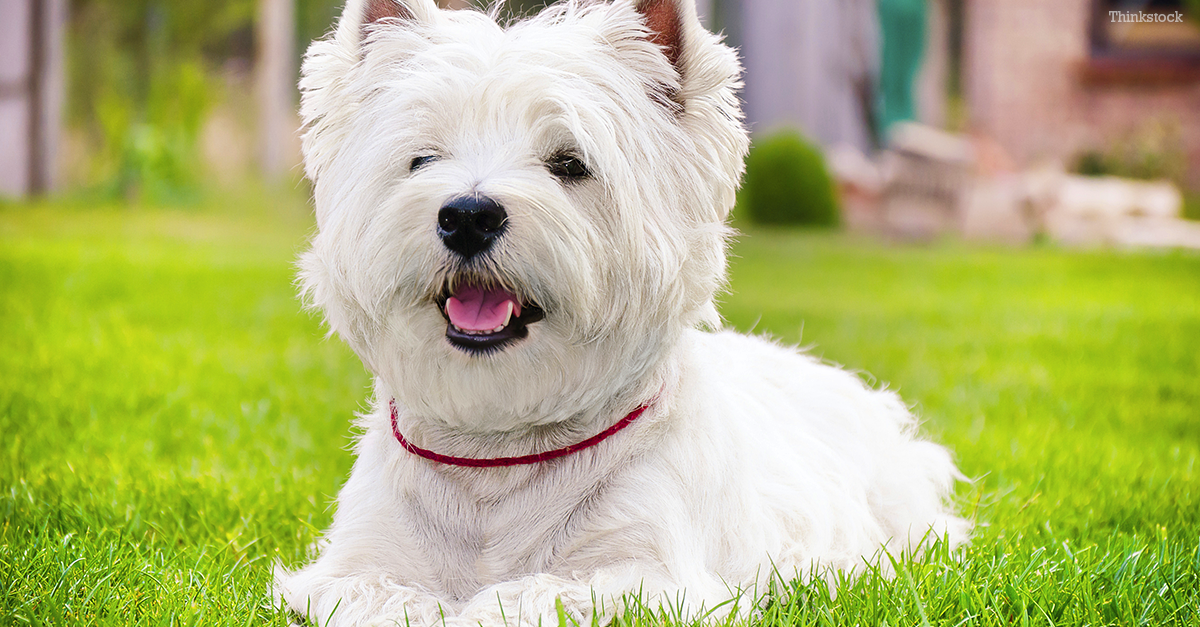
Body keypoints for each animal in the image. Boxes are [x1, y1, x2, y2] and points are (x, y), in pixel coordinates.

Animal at [276, 0, 969, 619]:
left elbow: (528, 595)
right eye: (422, 159)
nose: (467, 216)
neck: (496, 462)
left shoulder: (650, 575)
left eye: (569, 163)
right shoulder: (353, 567)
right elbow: (388, 596)